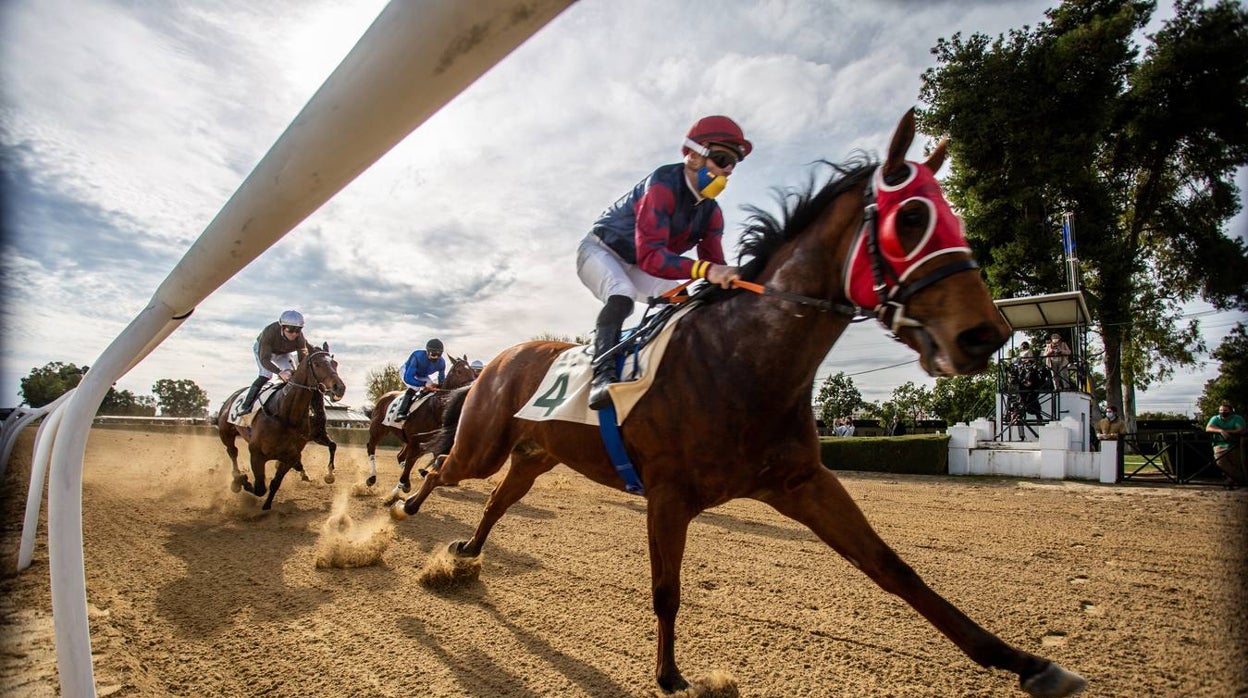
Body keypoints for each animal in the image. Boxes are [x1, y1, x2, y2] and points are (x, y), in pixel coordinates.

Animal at [217, 347, 346, 511]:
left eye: (335, 363)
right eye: (317, 364)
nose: (339, 388)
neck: (285, 414)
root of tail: (232, 397)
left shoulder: (304, 444)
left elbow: (275, 482)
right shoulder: (257, 453)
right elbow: (260, 488)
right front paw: (242, 481)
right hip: (225, 432)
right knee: (232, 452)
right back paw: (236, 479)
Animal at [364, 354, 476, 496]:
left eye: (472, 371)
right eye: (459, 371)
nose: (473, 386)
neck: (435, 410)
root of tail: (385, 395)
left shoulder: (430, 444)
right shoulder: (416, 443)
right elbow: (410, 465)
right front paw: (393, 494)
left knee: (400, 457)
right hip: (378, 430)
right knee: (371, 447)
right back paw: (372, 478)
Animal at [394, 111, 1088, 694]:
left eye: (954, 218)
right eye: (912, 218)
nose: (984, 333)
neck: (743, 360)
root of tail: (500, 358)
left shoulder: (803, 481)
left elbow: (894, 569)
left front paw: (1026, 663)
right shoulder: (669, 495)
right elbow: (666, 590)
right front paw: (670, 675)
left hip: (535, 454)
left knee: (494, 498)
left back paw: (465, 551)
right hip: (484, 442)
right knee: (441, 465)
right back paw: (402, 503)